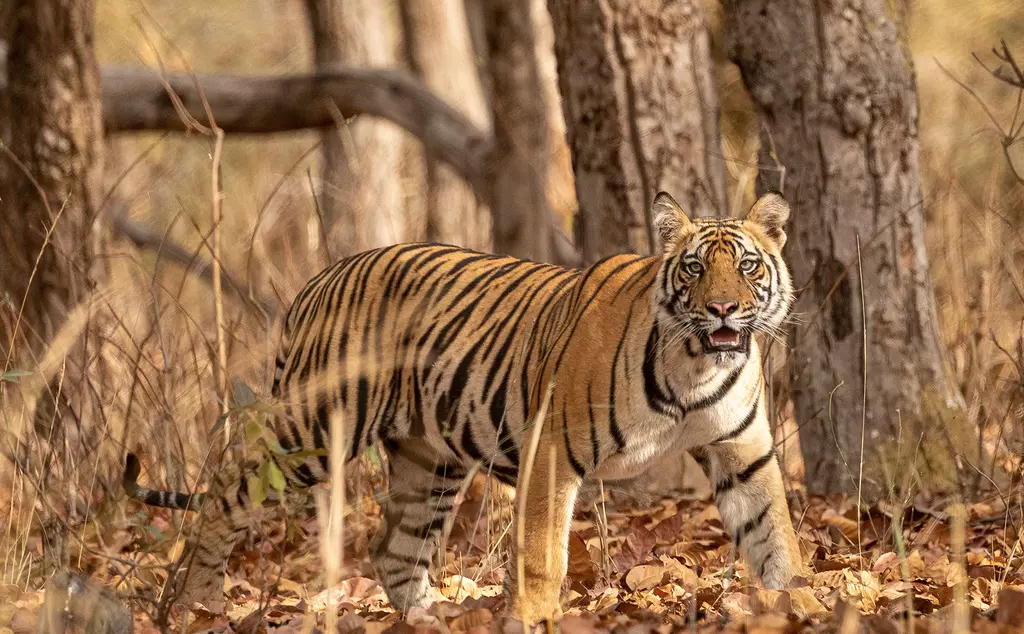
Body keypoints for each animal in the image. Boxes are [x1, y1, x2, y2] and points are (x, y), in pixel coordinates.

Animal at [121, 189, 806, 626]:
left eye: (748, 266)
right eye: (693, 269)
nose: (722, 309)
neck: (695, 367)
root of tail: (316, 281)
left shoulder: (743, 453)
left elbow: (776, 538)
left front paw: (806, 605)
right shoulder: (552, 451)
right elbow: (542, 556)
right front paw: (533, 619)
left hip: (430, 460)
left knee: (396, 551)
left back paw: (430, 620)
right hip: (310, 431)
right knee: (224, 495)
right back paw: (196, 605)